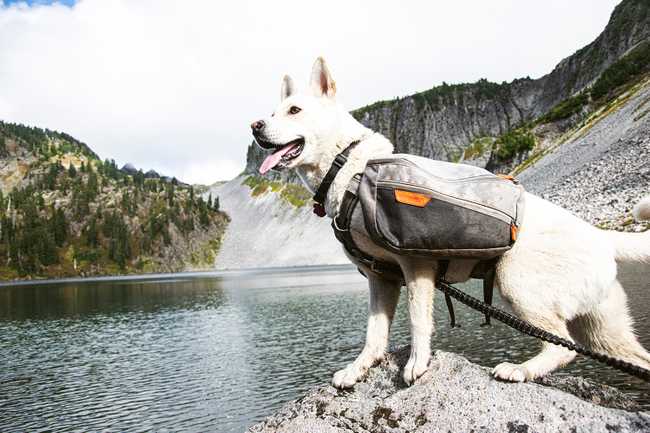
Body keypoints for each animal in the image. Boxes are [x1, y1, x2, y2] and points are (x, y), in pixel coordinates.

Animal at [249, 56, 648, 384]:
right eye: (273, 112)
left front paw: (416, 365)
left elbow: (418, 321)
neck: (349, 168)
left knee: (561, 346)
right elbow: (374, 334)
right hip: (603, 330)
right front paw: (358, 369)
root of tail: (601, 235)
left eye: (295, 110)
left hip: (516, 285)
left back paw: (519, 370)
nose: (254, 126)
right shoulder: (380, 278)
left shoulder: (416, 267)